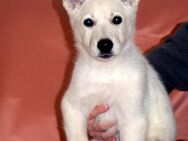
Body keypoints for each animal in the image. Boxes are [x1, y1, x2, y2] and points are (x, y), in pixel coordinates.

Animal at [61, 0, 176, 141]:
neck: (106, 72)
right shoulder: (72, 106)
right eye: (88, 22)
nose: (105, 45)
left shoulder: (134, 118)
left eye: (117, 19)